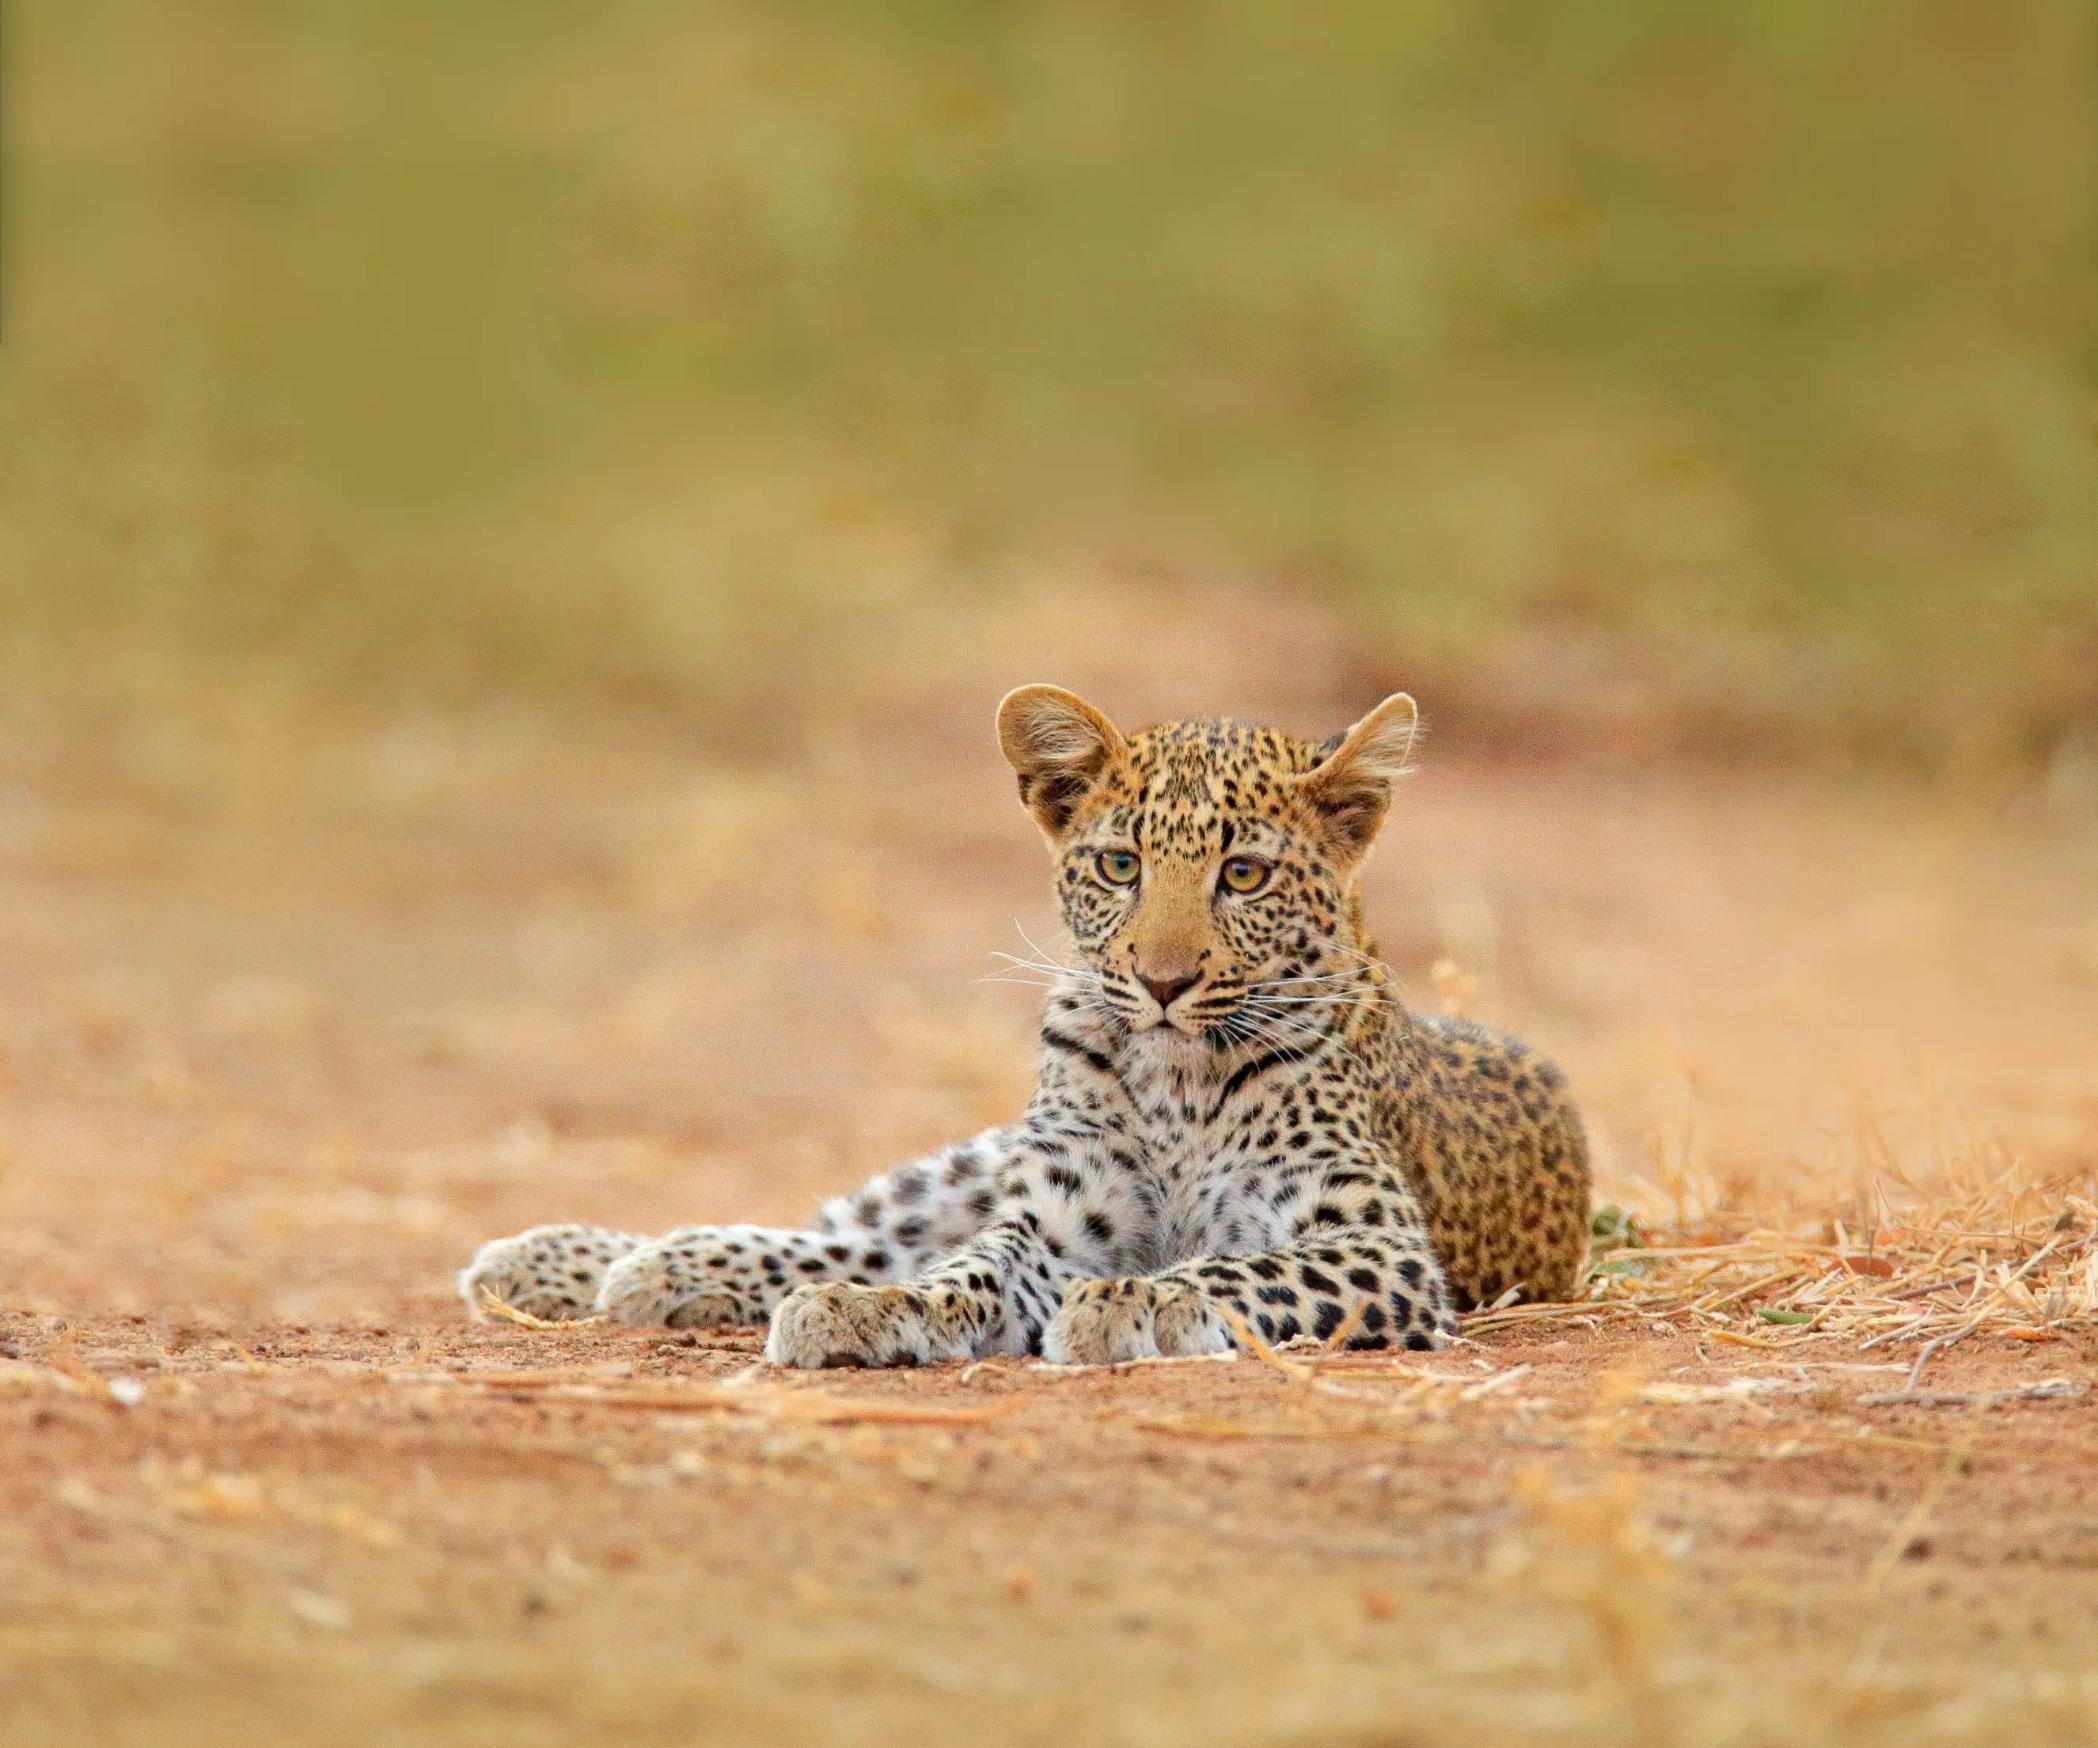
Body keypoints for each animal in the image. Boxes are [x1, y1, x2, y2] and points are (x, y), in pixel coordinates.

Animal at [459, 685, 1591, 1366]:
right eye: (1120, 865)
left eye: (1243, 874)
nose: (1163, 980)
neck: (1178, 1082)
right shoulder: (1051, 1219)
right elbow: (968, 1269)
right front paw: (879, 1314)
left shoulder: (1380, 1244)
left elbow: (1244, 1266)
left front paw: (1135, 1304)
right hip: (969, 1164)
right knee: (856, 1231)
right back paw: (594, 1259)